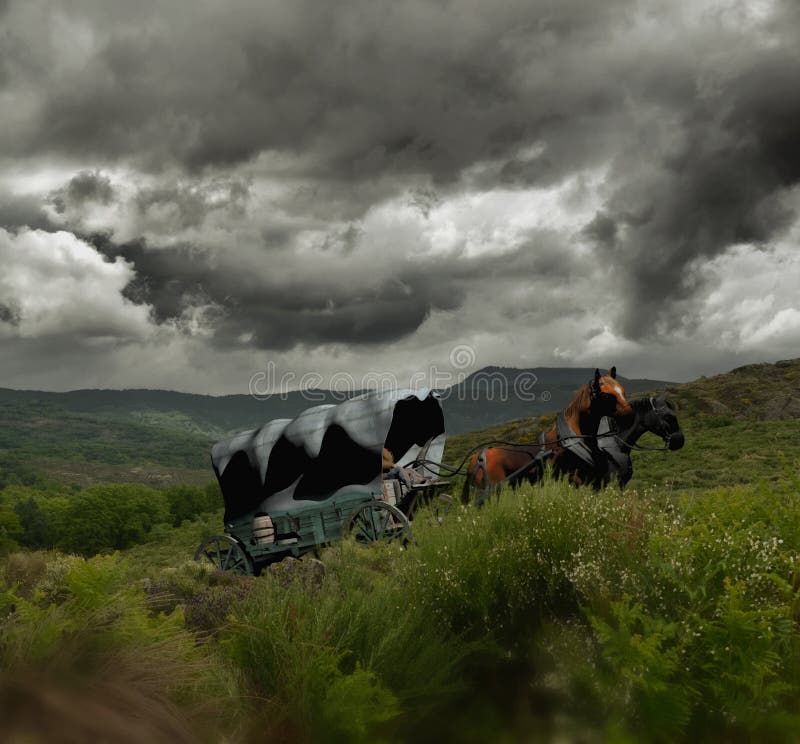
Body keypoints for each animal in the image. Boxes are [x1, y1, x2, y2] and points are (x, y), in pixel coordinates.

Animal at [462, 368, 632, 502]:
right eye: (607, 396)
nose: (629, 415)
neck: (569, 441)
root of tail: (475, 460)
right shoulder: (574, 479)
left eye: (623, 391)